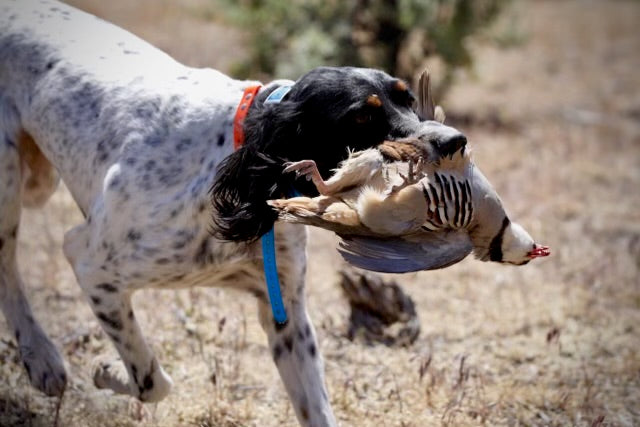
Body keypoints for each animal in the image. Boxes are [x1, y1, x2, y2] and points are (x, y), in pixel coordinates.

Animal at [0, 0, 468, 424]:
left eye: (409, 99)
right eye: (361, 118)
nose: (455, 141)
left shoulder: (287, 314)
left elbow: (316, 408)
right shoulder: (91, 263)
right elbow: (152, 380)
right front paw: (106, 371)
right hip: (12, 184)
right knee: (8, 267)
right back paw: (41, 358)